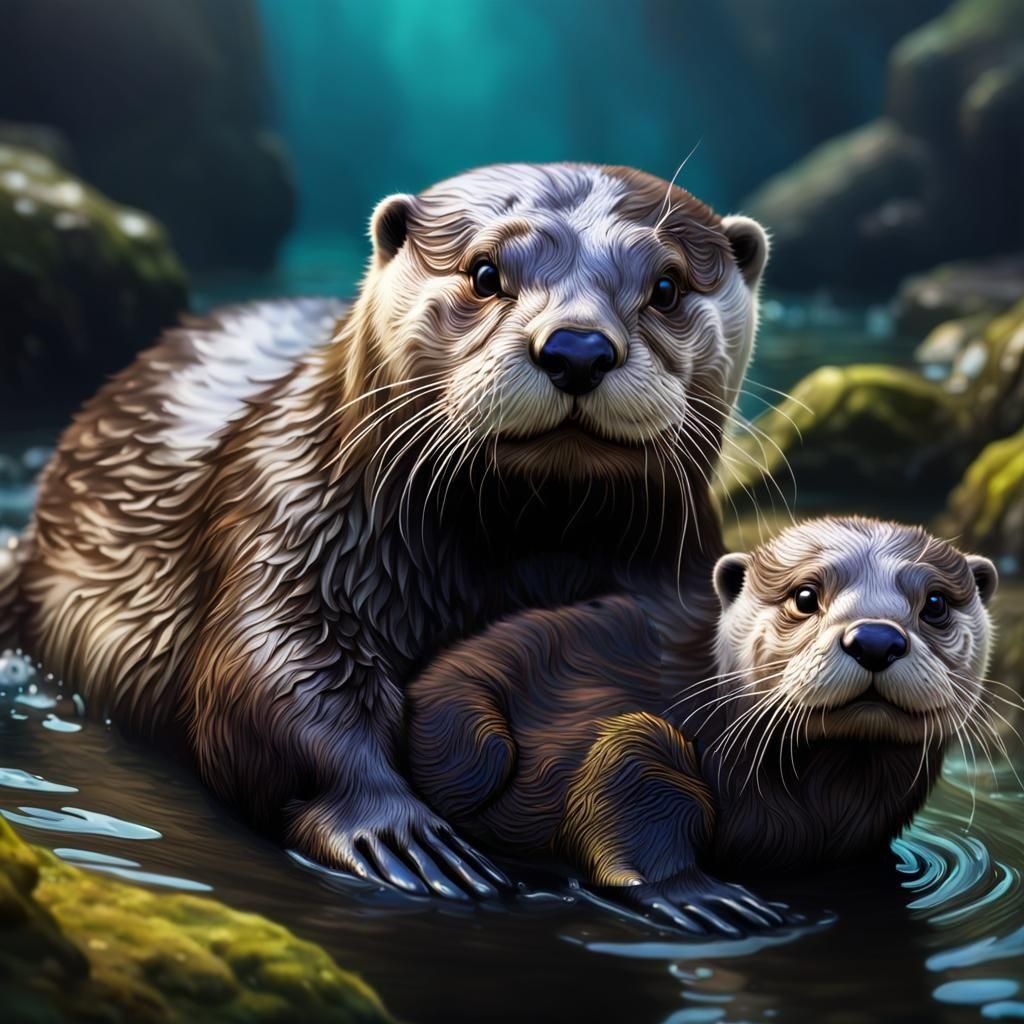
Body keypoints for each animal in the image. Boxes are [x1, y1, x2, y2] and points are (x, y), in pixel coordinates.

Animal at [3, 163, 769, 898]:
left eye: (666, 286)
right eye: (485, 273)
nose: (577, 348)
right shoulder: (289, 521)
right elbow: (266, 673)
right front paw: (398, 831)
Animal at [406, 517, 998, 932]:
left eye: (936, 603)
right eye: (805, 596)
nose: (875, 639)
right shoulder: (635, 737)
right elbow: (629, 760)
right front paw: (700, 896)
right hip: (469, 731)